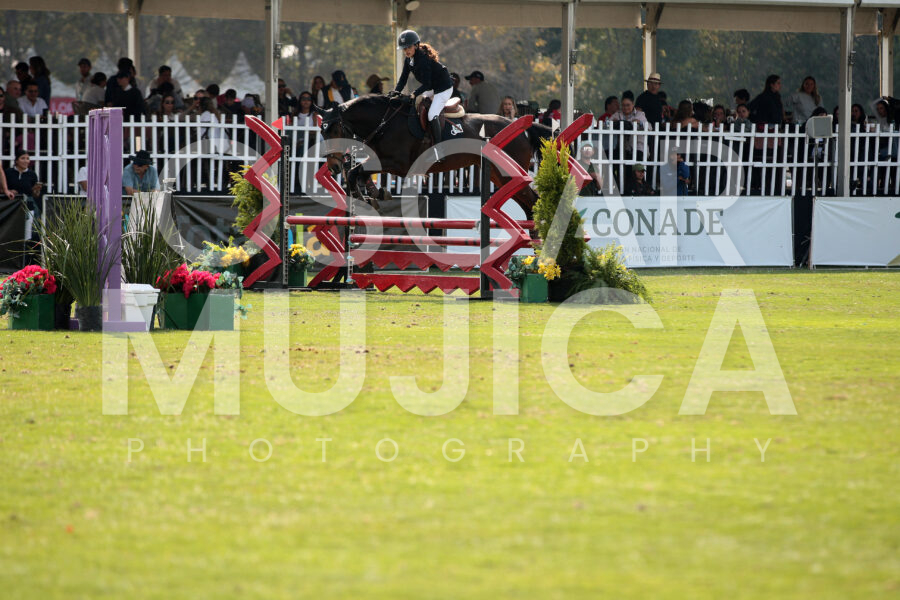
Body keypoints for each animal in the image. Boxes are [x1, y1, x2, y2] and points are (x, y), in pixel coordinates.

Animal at [311, 94, 552, 218]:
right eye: (322, 132)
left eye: (335, 130)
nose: (333, 166)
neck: (384, 122)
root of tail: (523, 128)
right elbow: (356, 173)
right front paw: (374, 195)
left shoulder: (398, 164)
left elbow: (355, 172)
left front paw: (366, 198)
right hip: (499, 177)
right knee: (528, 204)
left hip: (507, 174)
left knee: (532, 201)